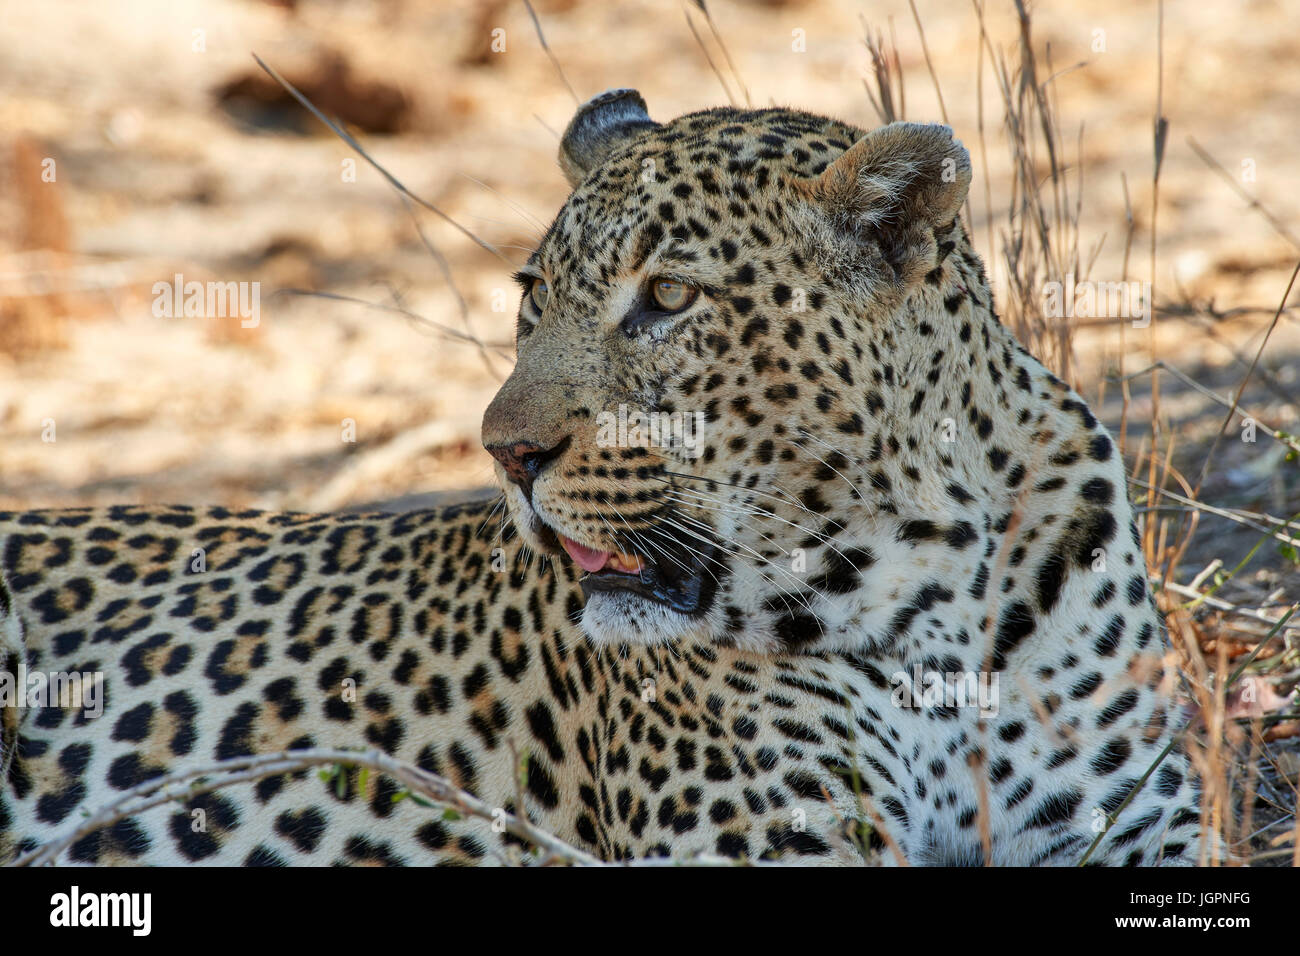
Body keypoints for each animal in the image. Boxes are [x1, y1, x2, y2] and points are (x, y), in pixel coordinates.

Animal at [0, 91, 1201, 868]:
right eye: (532, 295)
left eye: (666, 298)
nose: (506, 453)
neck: (932, 579)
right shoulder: (770, 843)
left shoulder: (1134, 825)